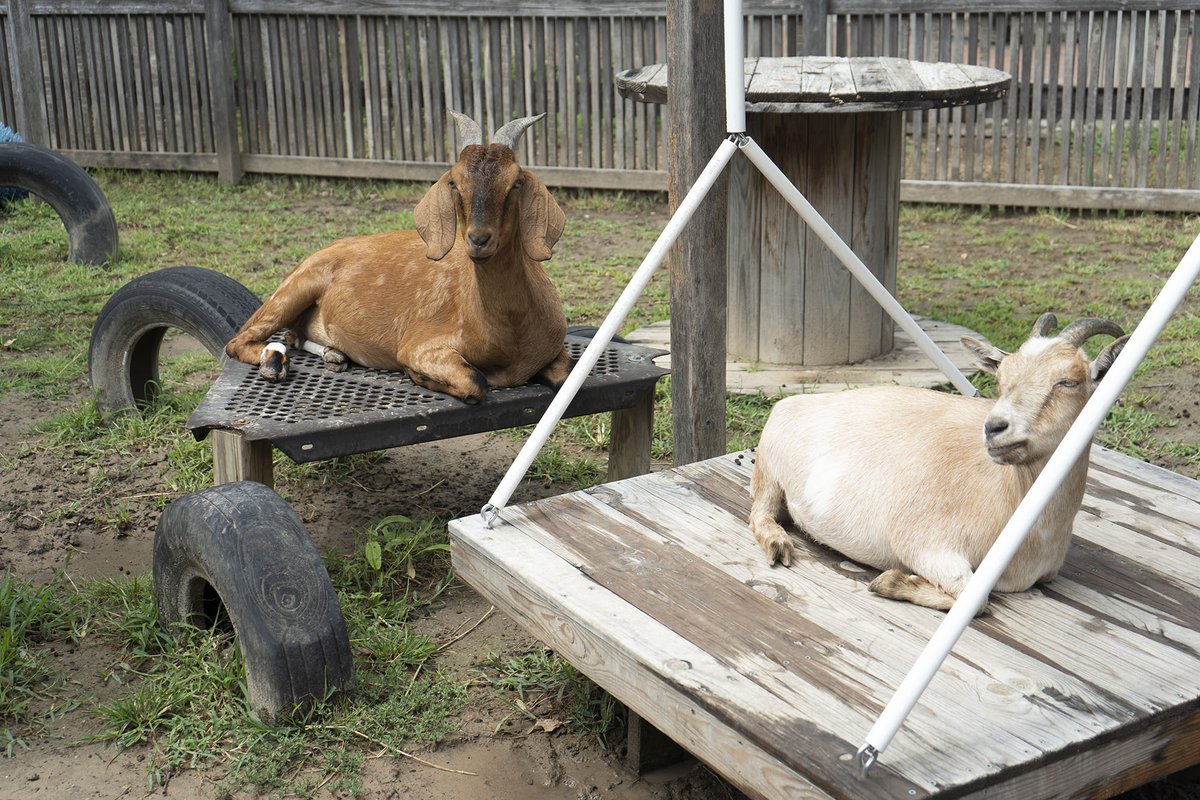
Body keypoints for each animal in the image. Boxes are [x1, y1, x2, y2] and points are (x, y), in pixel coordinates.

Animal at [225, 111, 571, 404]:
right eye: (455, 182)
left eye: (515, 183)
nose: (478, 239)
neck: (507, 337)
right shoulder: (420, 346)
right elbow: (475, 381)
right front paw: (418, 377)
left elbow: (563, 374)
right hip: (294, 289)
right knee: (239, 339)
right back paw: (273, 361)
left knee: (293, 335)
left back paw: (333, 355)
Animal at [748, 314, 1128, 613]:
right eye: (1001, 379)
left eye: (1068, 381)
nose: (995, 428)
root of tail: (790, 404)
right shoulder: (924, 542)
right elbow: (975, 598)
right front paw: (891, 581)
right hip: (770, 470)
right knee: (760, 511)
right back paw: (778, 544)